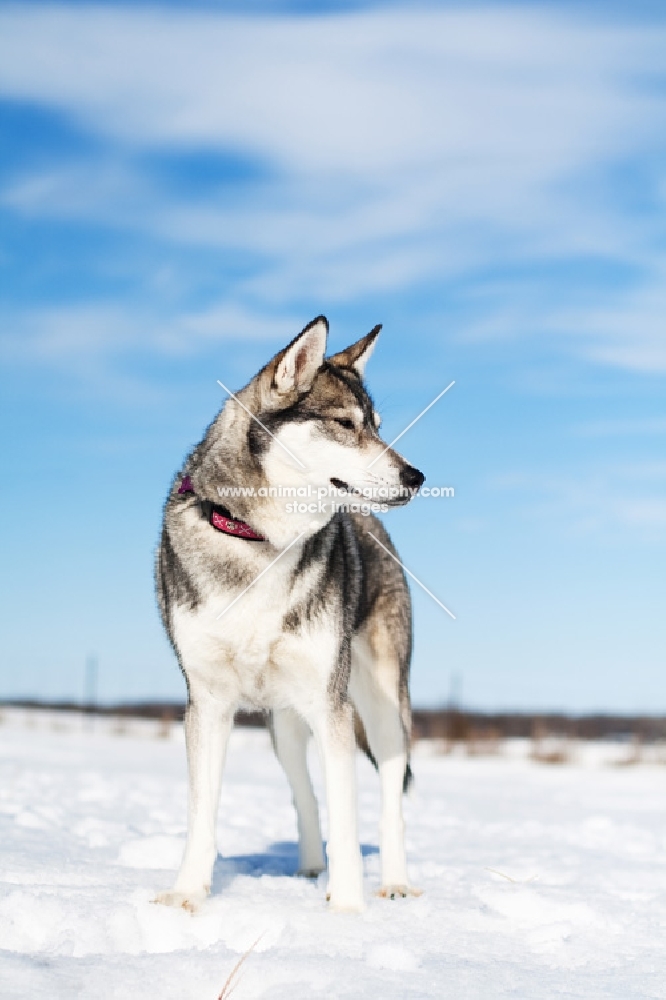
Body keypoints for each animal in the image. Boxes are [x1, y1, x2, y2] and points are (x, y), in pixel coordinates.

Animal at [154, 320, 422, 916]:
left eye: (378, 427)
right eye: (345, 425)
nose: (416, 475)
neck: (263, 542)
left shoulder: (331, 703)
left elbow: (348, 817)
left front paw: (346, 910)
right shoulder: (208, 702)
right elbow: (201, 811)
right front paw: (186, 894)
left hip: (380, 704)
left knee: (390, 796)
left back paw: (393, 881)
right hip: (284, 724)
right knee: (304, 793)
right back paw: (308, 866)